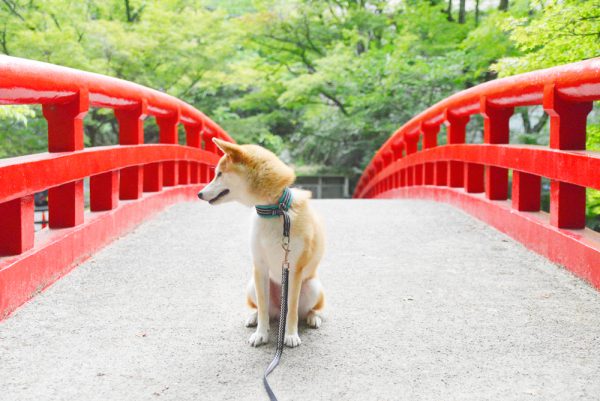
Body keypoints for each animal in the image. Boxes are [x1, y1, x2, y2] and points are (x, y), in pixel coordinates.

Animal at [199, 138, 326, 346]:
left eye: (219, 174)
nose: (199, 194)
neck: (274, 210)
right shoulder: (259, 266)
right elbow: (263, 308)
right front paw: (261, 334)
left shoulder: (294, 270)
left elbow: (292, 310)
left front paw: (291, 334)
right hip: (252, 284)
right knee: (262, 308)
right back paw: (254, 317)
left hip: (313, 286)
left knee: (306, 310)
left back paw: (313, 318)